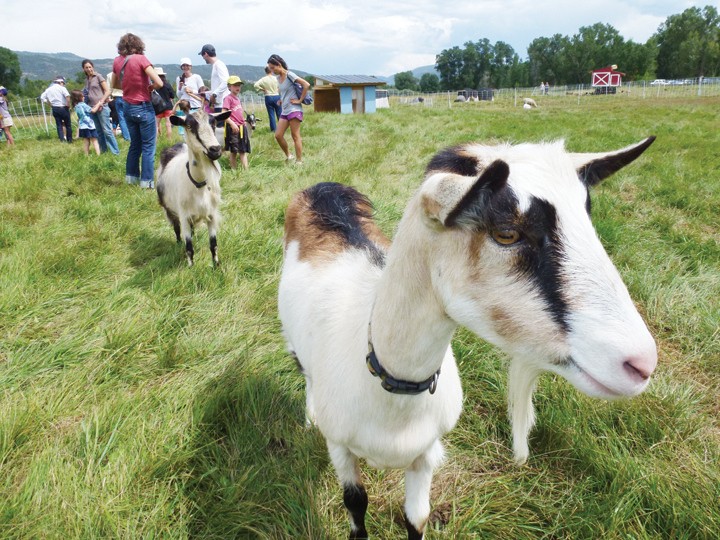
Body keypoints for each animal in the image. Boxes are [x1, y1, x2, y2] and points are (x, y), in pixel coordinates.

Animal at [157, 108, 231, 266]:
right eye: (189, 126)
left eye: (214, 123)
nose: (215, 149)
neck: (198, 185)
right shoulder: (184, 216)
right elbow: (189, 249)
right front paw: (190, 267)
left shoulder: (211, 214)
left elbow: (214, 245)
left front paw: (216, 266)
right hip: (170, 209)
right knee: (176, 229)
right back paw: (179, 243)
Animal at [278, 138, 660, 540]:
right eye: (506, 232)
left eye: (587, 216)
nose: (640, 364)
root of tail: (324, 189)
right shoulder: (340, 447)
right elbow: (356, 506)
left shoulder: (426, 452)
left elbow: (417, 518)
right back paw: (310, 417)